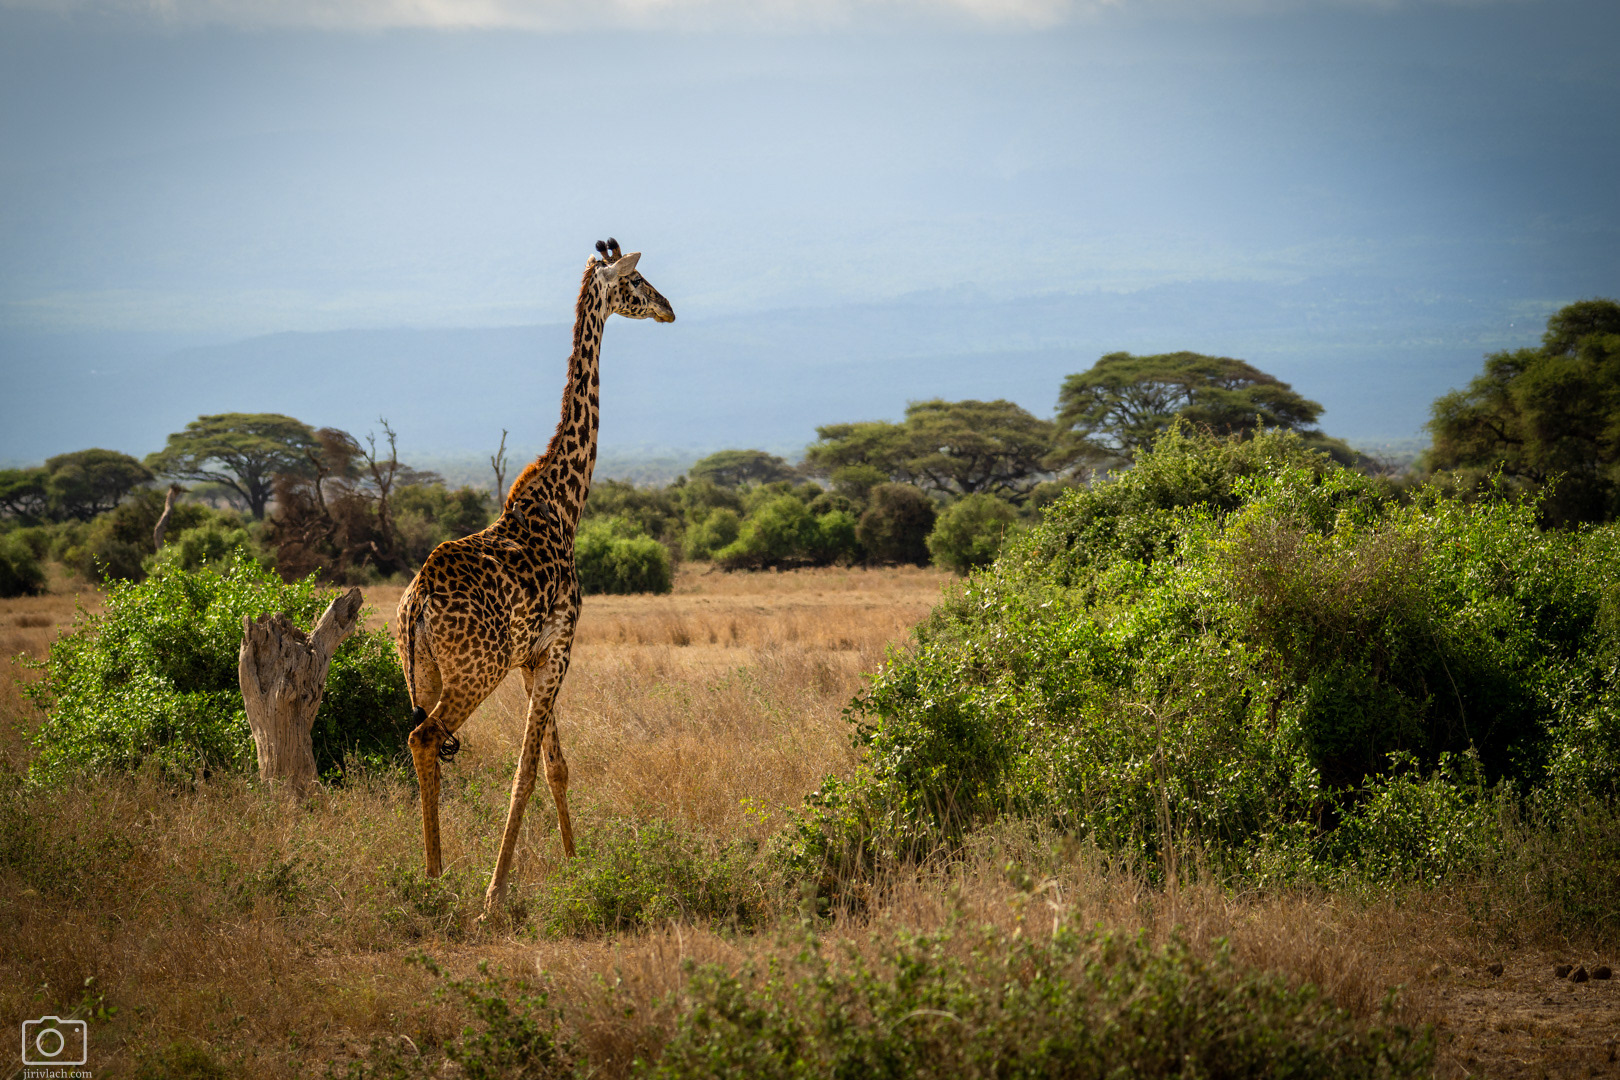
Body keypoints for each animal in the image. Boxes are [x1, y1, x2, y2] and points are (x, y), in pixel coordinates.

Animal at [393, 239, 675, 914]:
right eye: (638, 281)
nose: (670, 308)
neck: (565, 502)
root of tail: (416, 605)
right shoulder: (561, 646)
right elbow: (525, 771)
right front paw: (496, 892)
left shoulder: (532, 655)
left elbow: (554, 767)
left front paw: (576, 866)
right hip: (473, 673)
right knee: (426, 739)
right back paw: (447, 882)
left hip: (424, 672)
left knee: (418, 744)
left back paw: (433, 877)